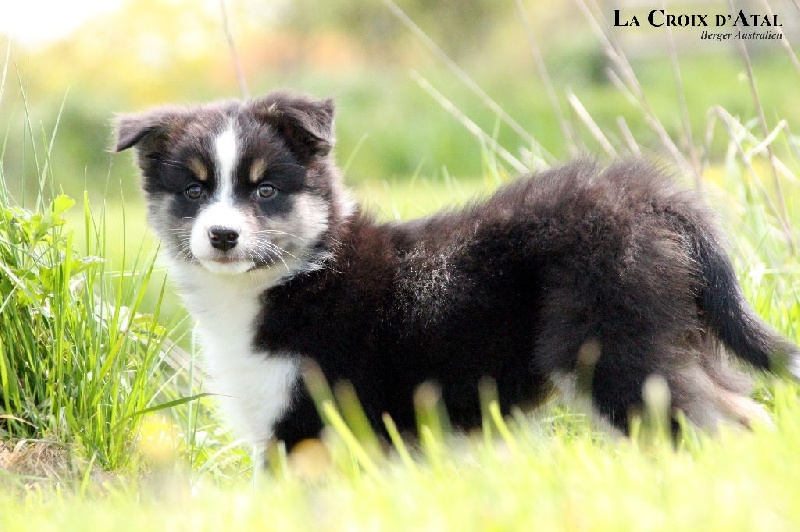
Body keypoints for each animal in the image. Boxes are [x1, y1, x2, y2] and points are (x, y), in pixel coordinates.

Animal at [114, 91, 799, 452]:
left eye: (265, 191)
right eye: (194, 190)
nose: (222, 235)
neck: (298, 274)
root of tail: (655, 198)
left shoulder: (310, 418)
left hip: (616, 347)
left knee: (708, 422)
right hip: (674, 338)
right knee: (744, 412)